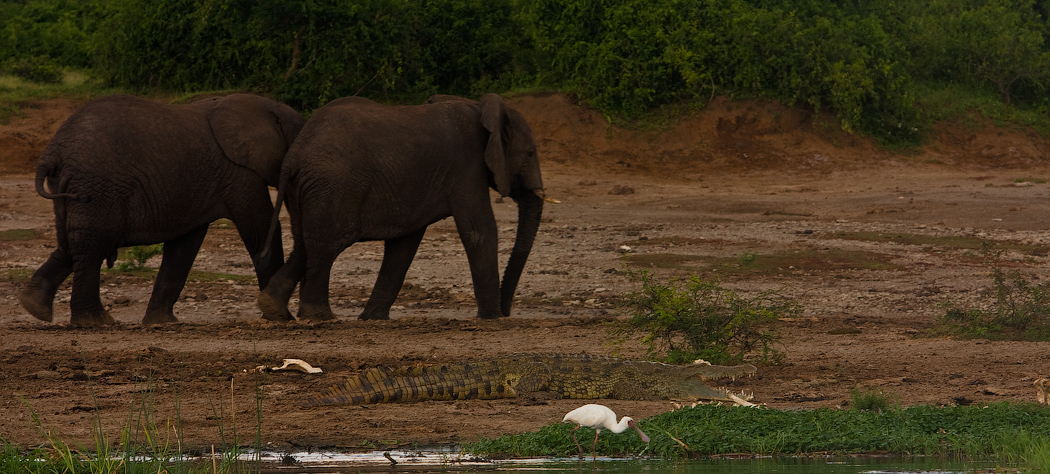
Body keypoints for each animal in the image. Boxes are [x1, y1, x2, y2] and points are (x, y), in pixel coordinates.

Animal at [19, 94, 304, 327]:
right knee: (90, 245)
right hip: (97, 188)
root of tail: (51, 154)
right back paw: (95, 322)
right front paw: (281, 317)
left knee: (72, 242)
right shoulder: (239, 173)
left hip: (73, 188)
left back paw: (35, 306)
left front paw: (161, 322)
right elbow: (260, 229)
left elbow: (184, 245)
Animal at [256, 93, 550, 323]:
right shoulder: (467, 166)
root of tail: (295, 154)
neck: (480, 108)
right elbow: (479, 230)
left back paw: (274, 309)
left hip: (305, 189)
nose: (507, 310)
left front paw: (372, 318)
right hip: (333, 186)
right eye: (530, 154)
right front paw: (492, 318)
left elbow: (404, 244)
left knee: (304, 241)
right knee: (326, 245)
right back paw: (320, 317)